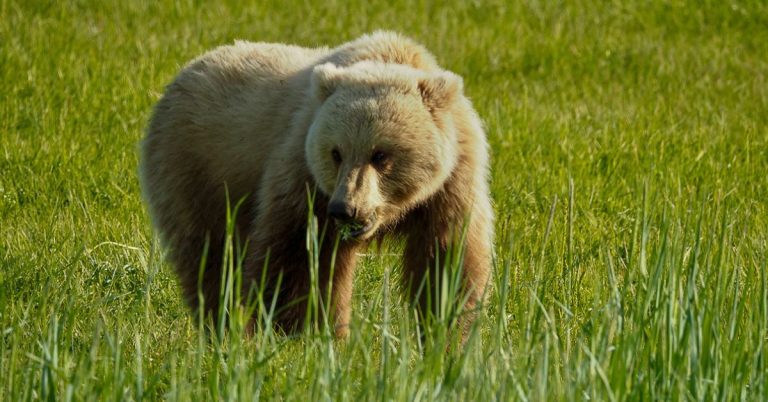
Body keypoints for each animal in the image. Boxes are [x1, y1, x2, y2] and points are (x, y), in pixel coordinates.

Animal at [140, 31, 493, 339]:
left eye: (380, 154)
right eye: (336, 152)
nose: (346, 208)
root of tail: (183, 73)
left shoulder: (450, 186)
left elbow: (447, 262)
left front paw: (445, 331)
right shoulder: (304, 177)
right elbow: (298, 260)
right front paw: (296, 334)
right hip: (198, 171)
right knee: (211, 258)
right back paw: (223, 326)